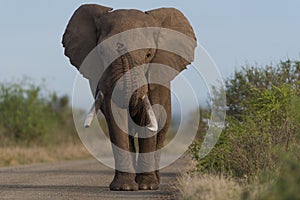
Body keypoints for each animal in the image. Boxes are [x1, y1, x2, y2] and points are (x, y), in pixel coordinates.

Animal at [62, 3, 196, 191]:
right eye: (101, 52)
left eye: (148, 55)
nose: (121, 46)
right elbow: (115, 118)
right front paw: (123, 187)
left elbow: (148, 117)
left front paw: (147, 187)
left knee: (160, 131)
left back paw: (154, 182)